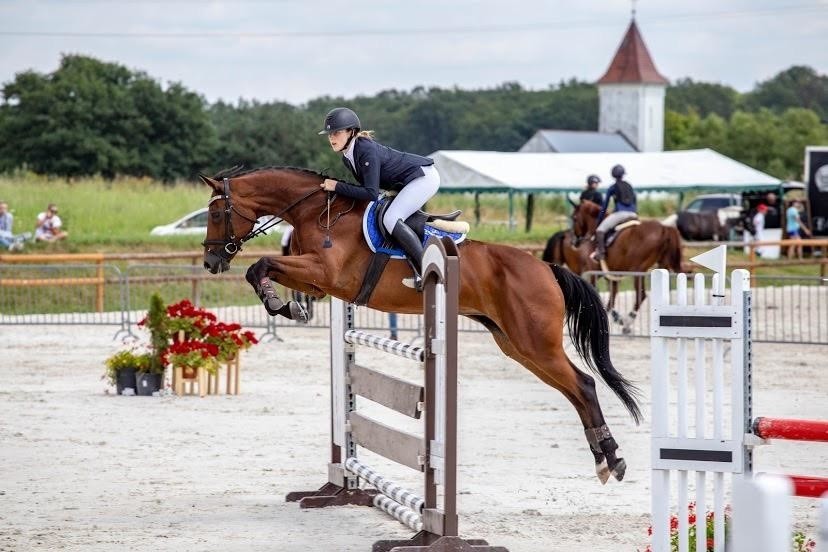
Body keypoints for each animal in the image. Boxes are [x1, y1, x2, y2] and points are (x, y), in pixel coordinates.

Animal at [199, 167, 640, 484]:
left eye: (217, 213)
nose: (210, 262)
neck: (315, 211)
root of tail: (547, 268)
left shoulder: (323, 273)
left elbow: (259, 265)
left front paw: (280, 305)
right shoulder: (317, 283)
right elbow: (263, 270)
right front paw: (289, 307)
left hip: (535, 343)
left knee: (583, 384)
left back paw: (613, 460)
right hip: (516, 345)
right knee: (574, 390)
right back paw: (605, 460)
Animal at [572, 202, 684, 334]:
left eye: (574, 218)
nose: (575, 242)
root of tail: (664, 228)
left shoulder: (595, 272)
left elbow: (599, 293)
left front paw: (618, 319)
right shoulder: (612, 275)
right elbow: (611, 298)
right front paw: (616, 318)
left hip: (638, 270)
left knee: (641, 295)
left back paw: (628, 323)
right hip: (662, 265)